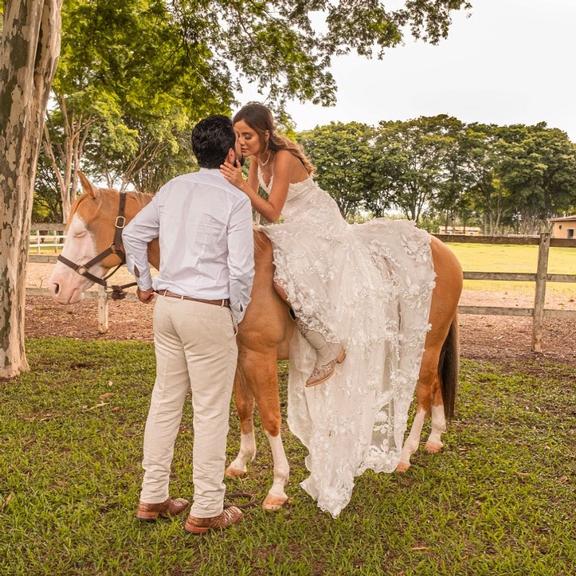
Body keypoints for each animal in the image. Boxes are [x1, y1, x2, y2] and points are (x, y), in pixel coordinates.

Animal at [49, 176, 464, 508]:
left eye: (81, 232)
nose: (55, 286)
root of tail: (443, 249)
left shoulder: (259, 357)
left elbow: (270, 417)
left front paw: (278, 487)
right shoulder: (235, 355)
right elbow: (243, 407)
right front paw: (240, 461)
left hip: (423, 345)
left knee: (423, 389)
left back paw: (405, 454)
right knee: (436, 386)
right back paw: (434, 439)